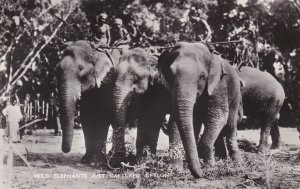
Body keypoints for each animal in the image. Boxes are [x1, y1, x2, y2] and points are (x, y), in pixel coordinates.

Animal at [158, 42, 243, 178]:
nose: (200, 175)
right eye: (170, 74)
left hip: (235, 94)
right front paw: (175, 169)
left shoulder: (219, 85)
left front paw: (210, 168)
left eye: (202, 77)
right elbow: (175, 121)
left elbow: (219, 116)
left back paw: (237, 164)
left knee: (230, 124)